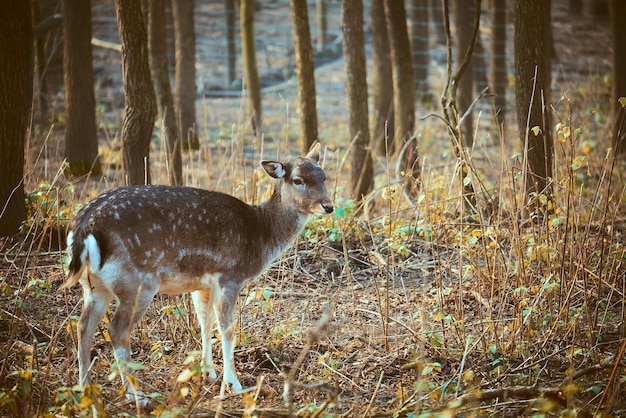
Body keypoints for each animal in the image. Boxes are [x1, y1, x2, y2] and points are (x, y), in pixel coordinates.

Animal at [61, 143, 334, 404]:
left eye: (324, 176)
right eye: (298, 180)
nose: (328, 206)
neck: (261, 235)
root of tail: (84, 227)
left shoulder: (203, 284)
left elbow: (205, 322)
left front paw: (207, 372)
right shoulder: (230, 275)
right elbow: (227, 327)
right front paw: (234, 384)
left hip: (94, 285)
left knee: (83, 326)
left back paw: (84, 388)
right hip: (137, 282)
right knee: (117, 330)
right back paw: (136, 396)